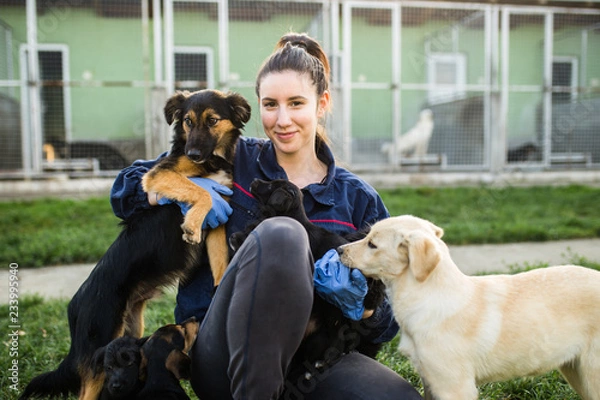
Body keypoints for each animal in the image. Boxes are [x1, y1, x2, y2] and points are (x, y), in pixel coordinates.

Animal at [338, 216, 600, 400]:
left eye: (372, 244)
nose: (339, 250)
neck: (428, 296)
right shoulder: (430, 381)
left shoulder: (455, 387)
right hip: (575, 371)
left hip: (591, 374)